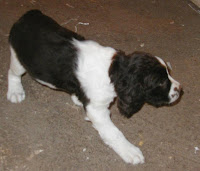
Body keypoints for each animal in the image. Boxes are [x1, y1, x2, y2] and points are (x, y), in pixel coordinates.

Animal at [7, 10, 181, 165]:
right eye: (161, 83)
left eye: (168, 74)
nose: (179, 90)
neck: (113, 70)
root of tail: (30, 14)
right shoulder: (97, 110)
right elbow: (114, 133)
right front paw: (130, 151)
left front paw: (79, 98)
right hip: (19, 59)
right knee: (13, 73)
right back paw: (15, 91)